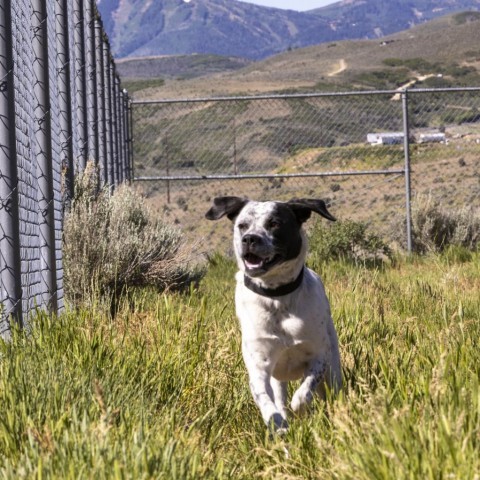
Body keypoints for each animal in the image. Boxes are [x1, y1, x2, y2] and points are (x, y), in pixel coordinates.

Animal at [205, 197, 342, 434]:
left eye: (275, 223)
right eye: (242, 225)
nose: (249, 238)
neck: (277, 296)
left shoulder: (319, 355)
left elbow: (304, 393)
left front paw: (301, 410)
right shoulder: (260, 365)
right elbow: (266, 401)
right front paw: (278, 424)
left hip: (333, 368)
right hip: (279, 378)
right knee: (279, 398)